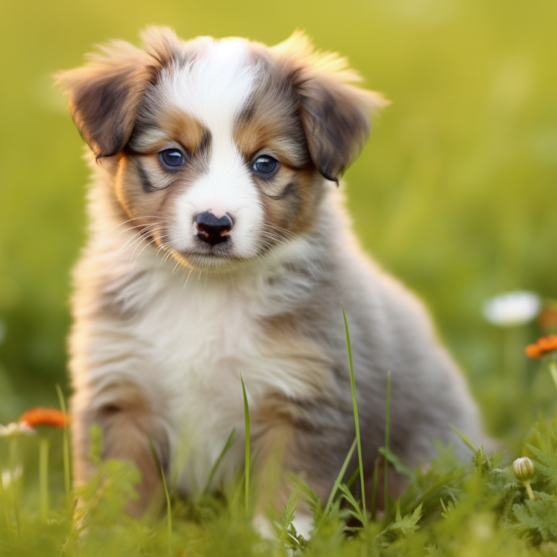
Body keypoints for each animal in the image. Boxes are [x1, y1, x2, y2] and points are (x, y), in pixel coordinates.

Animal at [57, 27, 482, 536]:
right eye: (172, 156)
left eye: (265, 163)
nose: (213, 225)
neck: (204, 293)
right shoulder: (120, 393)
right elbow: (116, 495)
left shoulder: (301, 402)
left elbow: (286, 502)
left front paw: (276, 542)